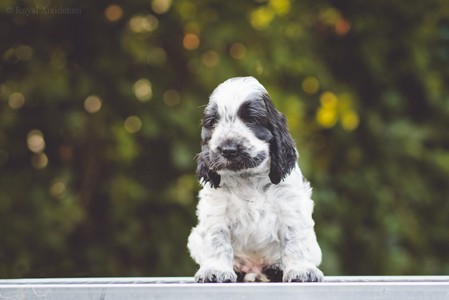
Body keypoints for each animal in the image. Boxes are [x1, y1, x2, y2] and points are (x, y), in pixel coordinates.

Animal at [186, 76, 322, 282]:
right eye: (213, 122)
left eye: (251, 119)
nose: (228, 149)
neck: (247, 178)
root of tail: (254, 270)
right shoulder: (216, 210)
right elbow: (218, 239)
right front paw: (216, 270)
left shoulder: (290, 206)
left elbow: (294, 240)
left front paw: (301, 270)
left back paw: (276, 268)